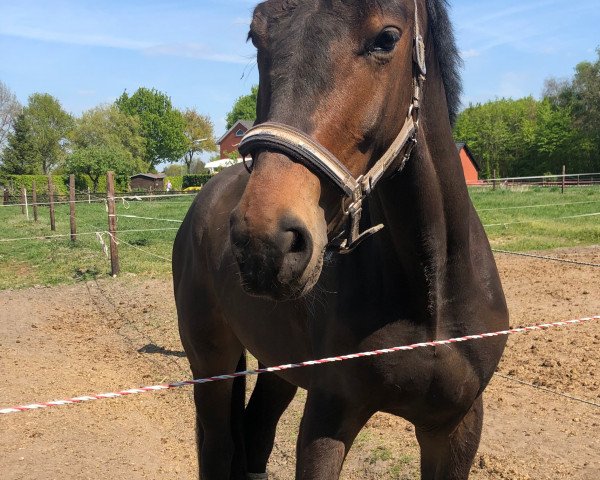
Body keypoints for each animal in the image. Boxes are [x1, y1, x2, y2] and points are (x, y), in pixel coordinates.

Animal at [172, 1, 506, 478]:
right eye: (256, 37)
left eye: (387, 38)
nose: (264, 242)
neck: (432, 295)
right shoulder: (328, 419)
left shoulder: (456, 427)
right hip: (210, 362)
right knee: (219, 448)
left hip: (278, 363)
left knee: (256, 433)